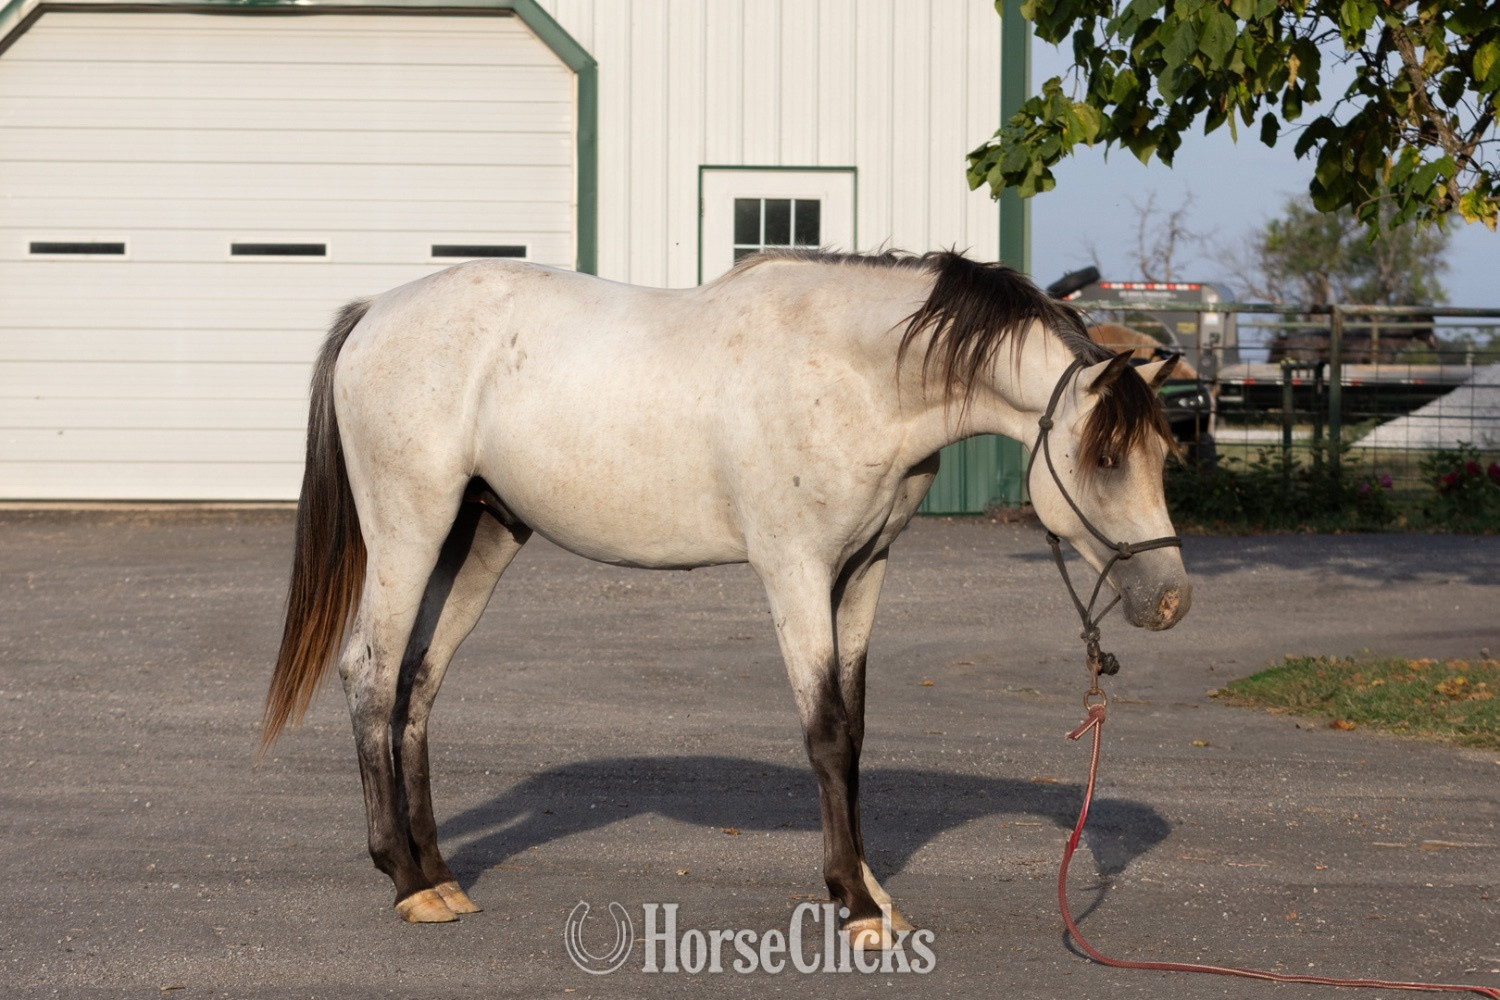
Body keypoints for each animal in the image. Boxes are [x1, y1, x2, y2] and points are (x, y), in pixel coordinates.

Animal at [260, 249, 1191, 945]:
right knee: (370, 673)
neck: (854, 375)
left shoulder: (863, 571)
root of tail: (374, 313)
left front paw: (871, 894)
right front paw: (855, 906)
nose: (1171, 599)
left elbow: (854, 731)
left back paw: (441, 874)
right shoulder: (795, 571)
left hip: (481, 536)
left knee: (415, 686)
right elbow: (825, 733)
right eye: (1107, 458)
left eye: (1162, 453)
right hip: (409, 532)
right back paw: (406, 881)